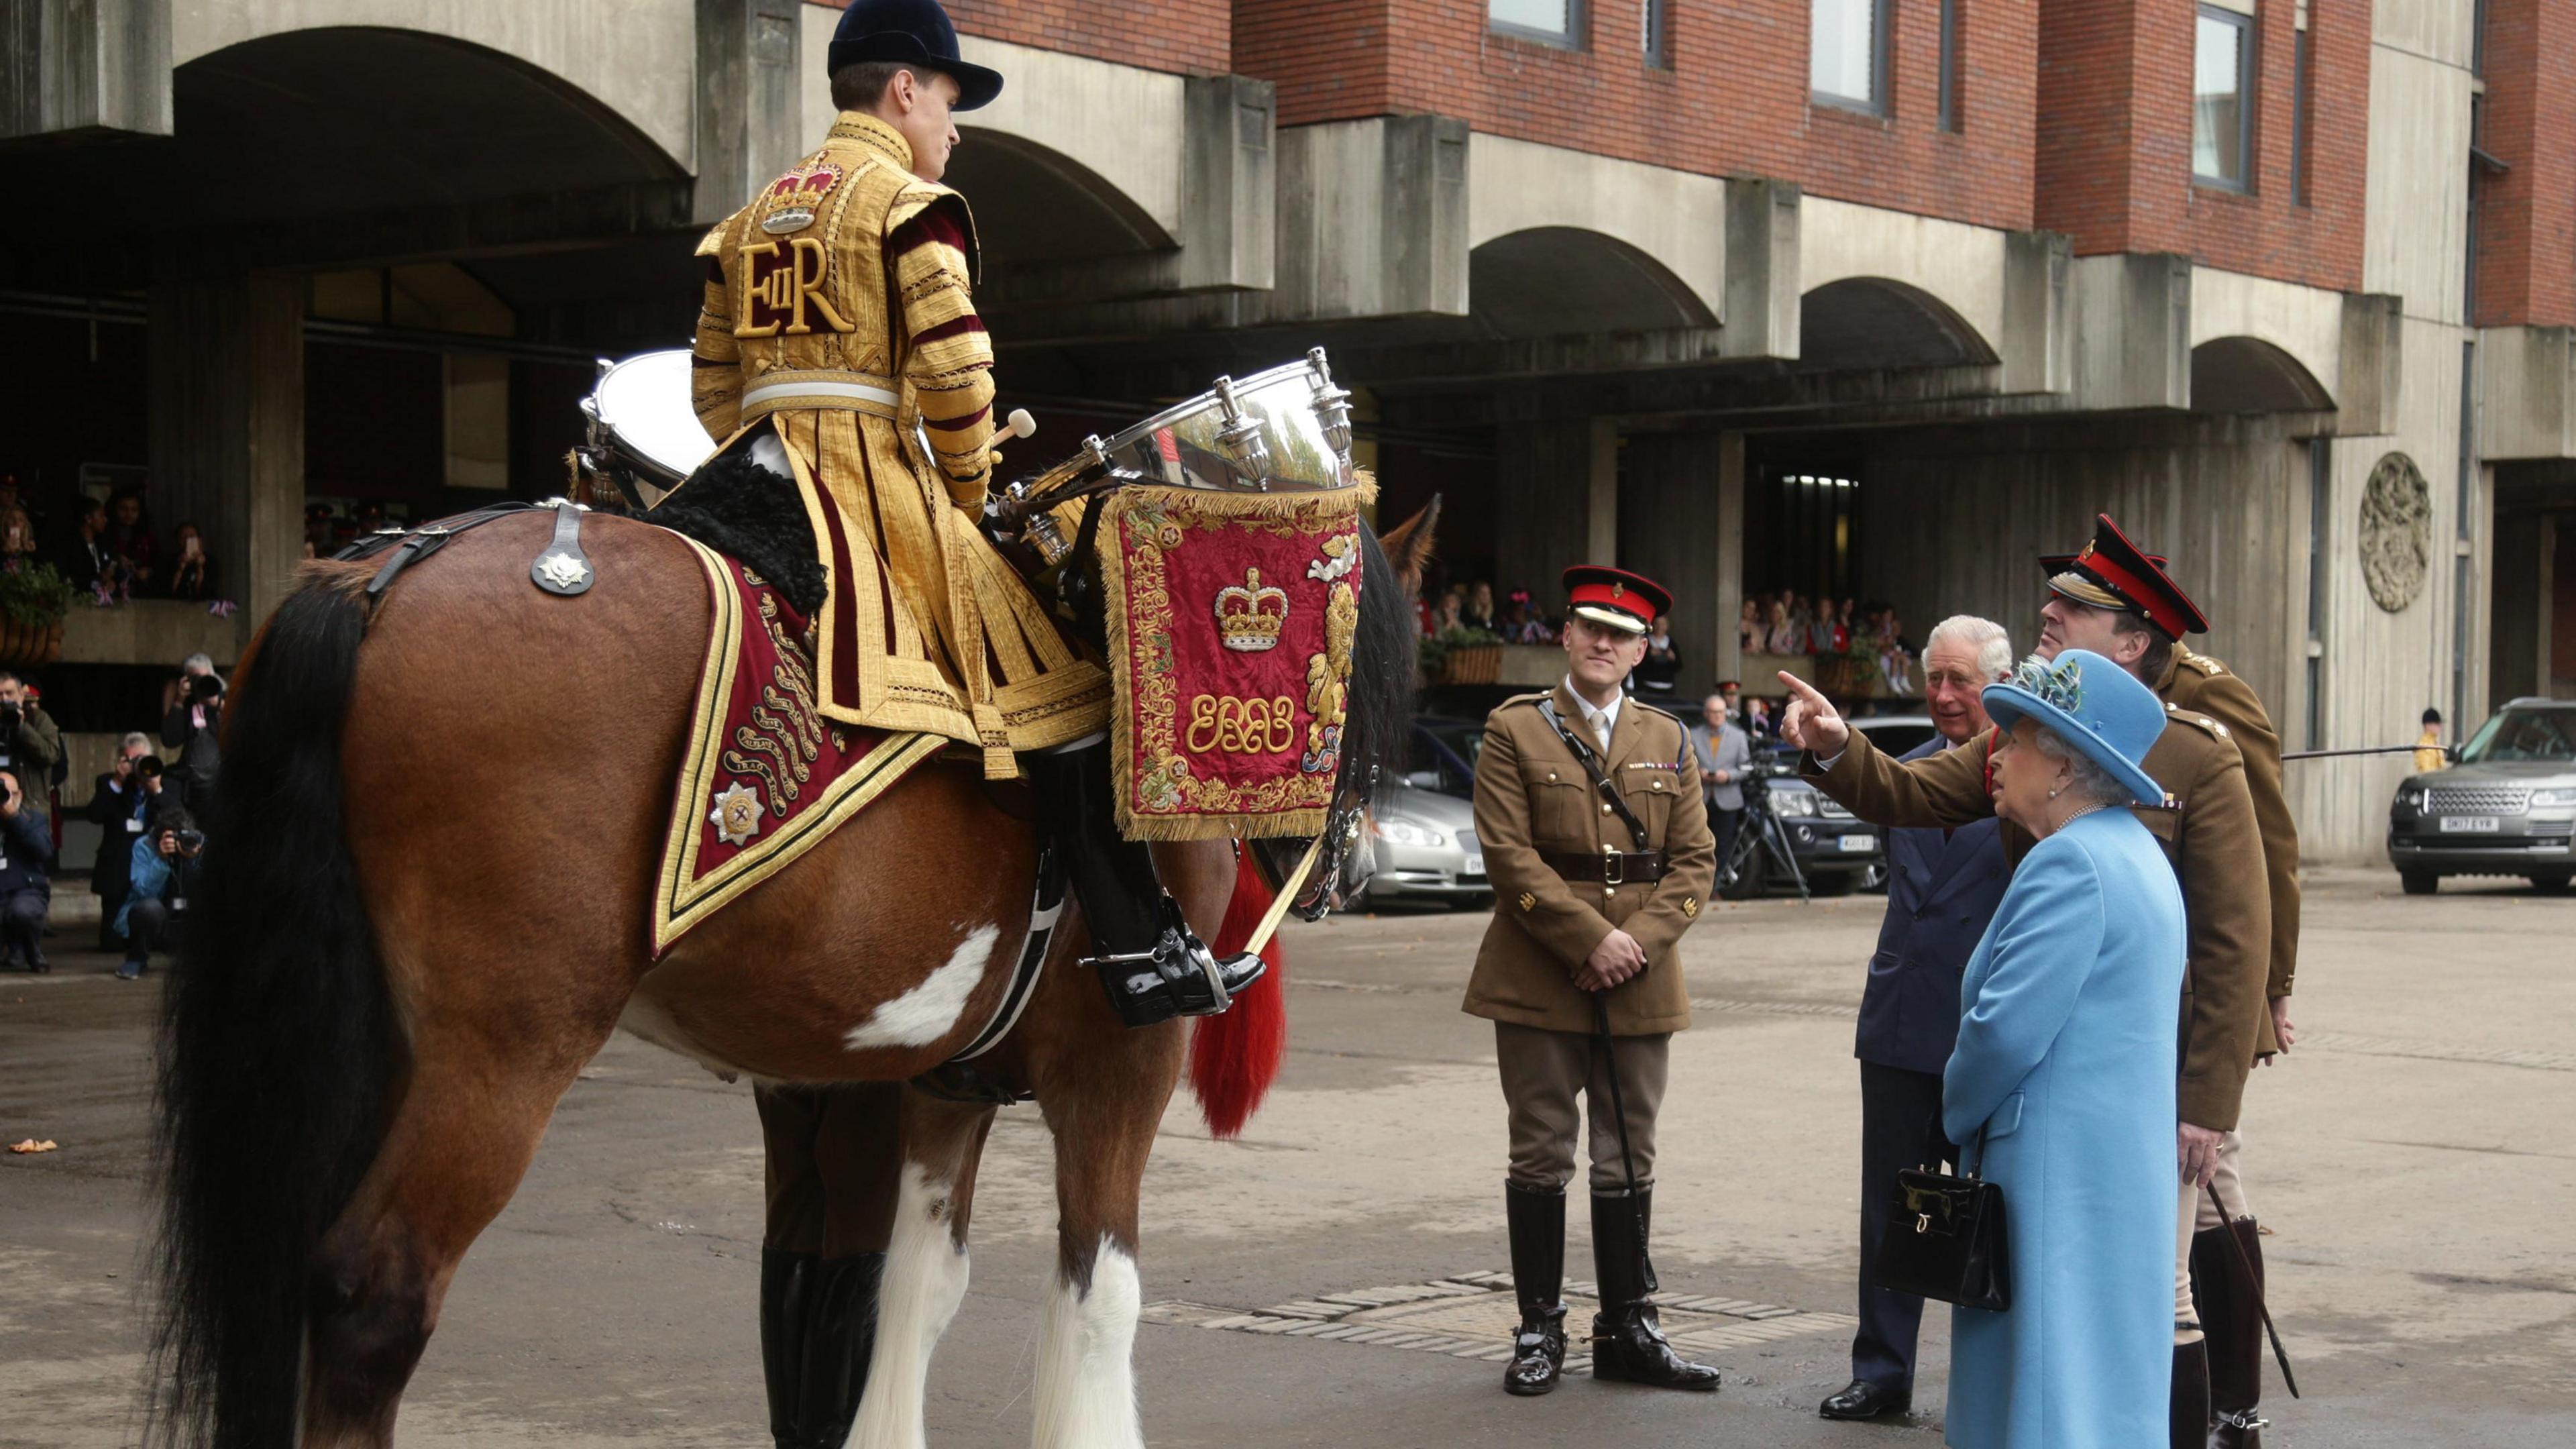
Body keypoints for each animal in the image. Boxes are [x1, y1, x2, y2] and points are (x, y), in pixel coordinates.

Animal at [141, 353, 1432, 1444]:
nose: (1358, 863)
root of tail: (376, 573)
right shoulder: (1117, 1069)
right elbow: (1097, 1300)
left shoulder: (940, 1082)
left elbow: (906, 1292)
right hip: (498, 1051)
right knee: (375, 1291)